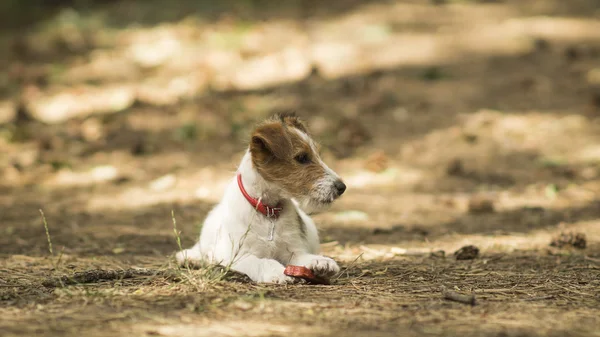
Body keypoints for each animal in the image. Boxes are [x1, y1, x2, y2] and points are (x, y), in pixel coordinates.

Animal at [176, 111, 344, 282]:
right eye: (302, 157)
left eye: (317, 155)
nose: (341, 187)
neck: (268, 211)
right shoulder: (236, 256)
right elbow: (262, 261)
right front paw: (277, 272)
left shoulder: (293, 252)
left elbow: (304, 257)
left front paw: (321, 262)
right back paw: (191, 256)